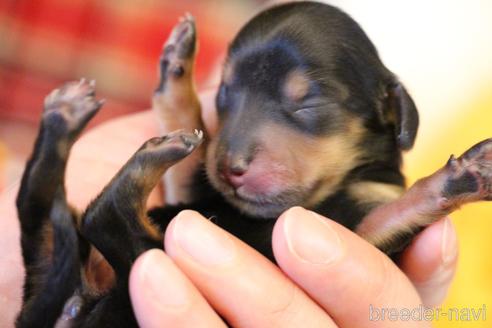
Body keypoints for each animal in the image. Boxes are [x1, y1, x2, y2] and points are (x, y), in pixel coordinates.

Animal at [15, 1, 492, 326]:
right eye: (226, 93)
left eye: (308, 103)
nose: (230, 167)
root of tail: (73, 305)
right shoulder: (199, 190)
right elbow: (193, 153)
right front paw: (176, 69)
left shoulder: (365, 238)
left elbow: (391, 213)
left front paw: (460, 178)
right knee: (78, 212)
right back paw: (72, 118)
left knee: (94, 218)